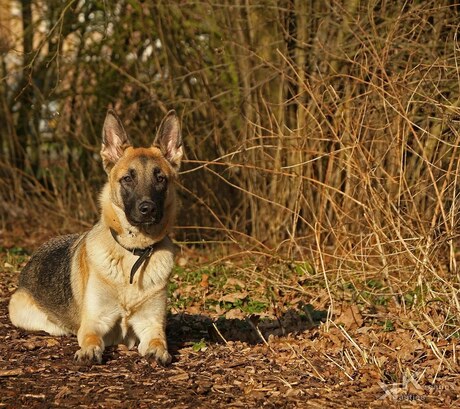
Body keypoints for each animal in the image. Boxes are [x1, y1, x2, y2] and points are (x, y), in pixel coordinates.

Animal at [9, 108, 181, 364]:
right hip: (19, 308)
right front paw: (89, 351)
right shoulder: (94, 322)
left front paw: (159, 352)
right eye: (128, 178)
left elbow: (159, 340)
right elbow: (91, 338)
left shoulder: (151, 324)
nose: (147, 209)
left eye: (160, 178)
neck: (133, 253)